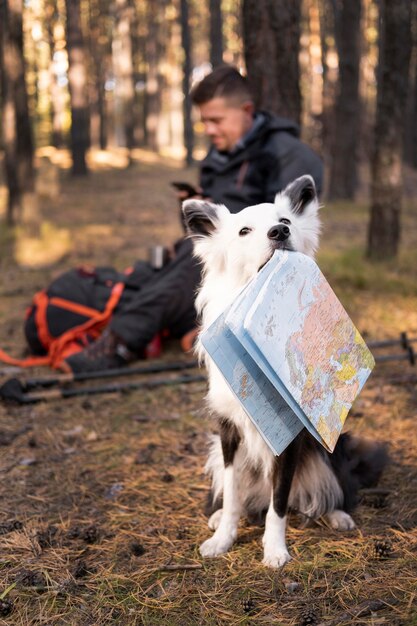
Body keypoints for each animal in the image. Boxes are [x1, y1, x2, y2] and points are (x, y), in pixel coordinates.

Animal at [183, 174, 386, 564]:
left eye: (286, 221)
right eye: (244, 231)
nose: (279, 232)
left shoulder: (290, 439)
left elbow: (279, 502)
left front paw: (275, 550)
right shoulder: (228, 432)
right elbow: (233, 492)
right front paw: (224, 538)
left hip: (331, 448)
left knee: (334, 488)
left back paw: (338, 514)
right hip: (215, 449)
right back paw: (217, 515)